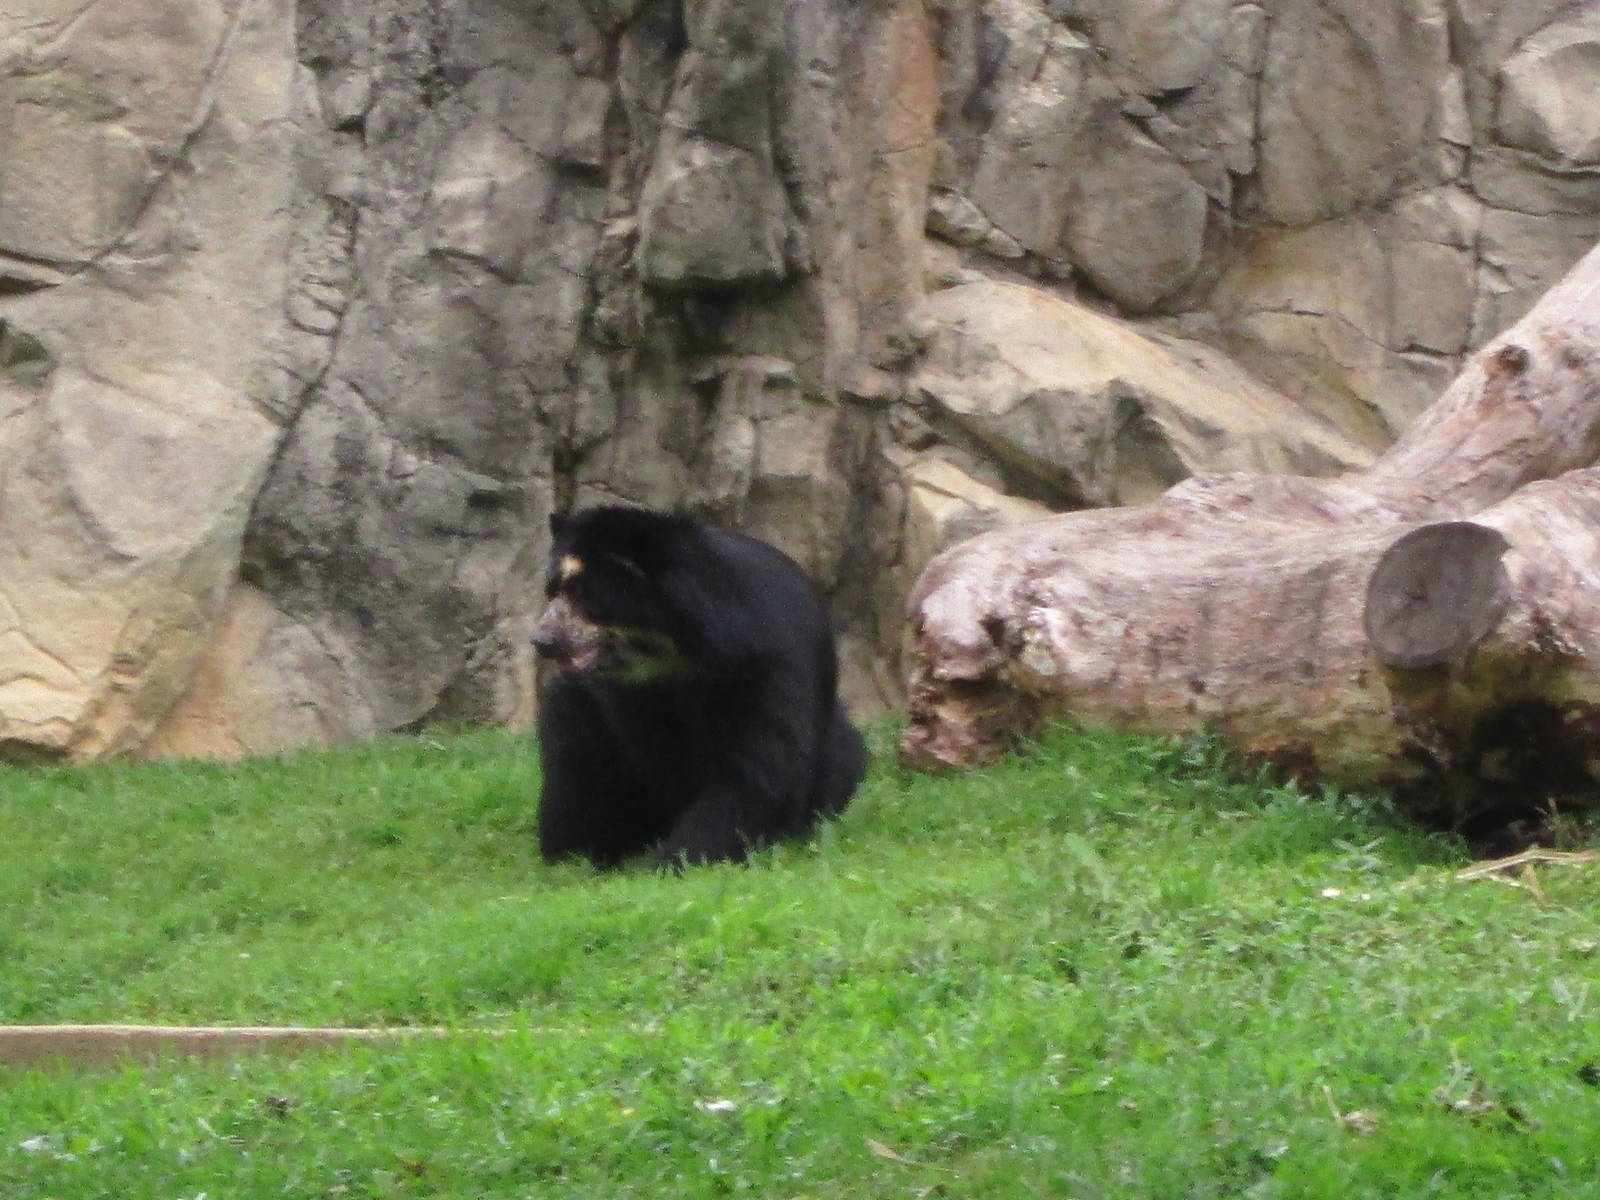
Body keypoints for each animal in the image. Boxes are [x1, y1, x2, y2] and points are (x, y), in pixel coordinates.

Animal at [532, 505, 866, 867]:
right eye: (551, 590)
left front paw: (678, 859)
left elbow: (759, 768)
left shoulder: (765, 665)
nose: (542, 640)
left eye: (583, 593)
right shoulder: (625, 696)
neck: (672, 652)